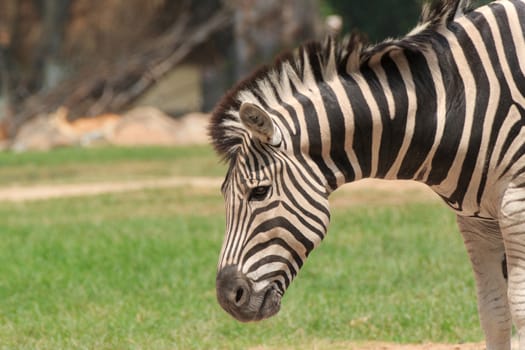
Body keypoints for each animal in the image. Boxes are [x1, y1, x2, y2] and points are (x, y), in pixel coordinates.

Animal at [208, 0, 524, 348]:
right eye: (224, 194)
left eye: (259, 192)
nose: (228, 297)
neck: (455, 101)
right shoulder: (476, 220)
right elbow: (493, 311)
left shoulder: (516, 205)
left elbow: (518, 306)